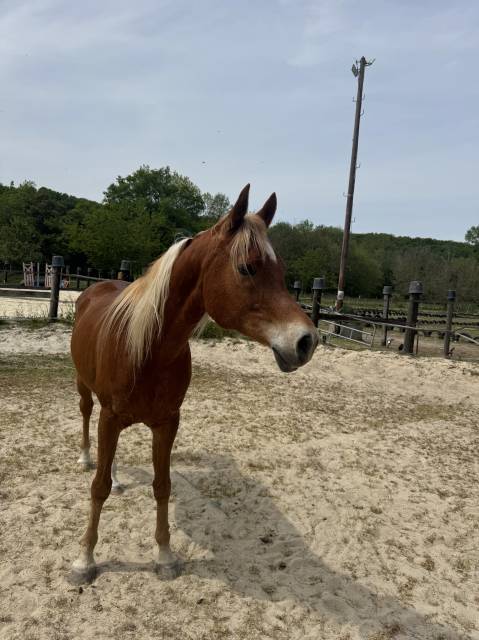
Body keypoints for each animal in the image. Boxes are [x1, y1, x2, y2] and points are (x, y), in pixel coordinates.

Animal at [69, 184, 319, 584]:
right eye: (247, 267)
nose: (306, 341)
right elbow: (98, 488)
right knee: (85, 417)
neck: (148, 349)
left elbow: (162, 486)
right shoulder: (110, 417)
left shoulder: (167, 422)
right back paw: (85, 458)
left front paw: (165, 556)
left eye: (281, 271)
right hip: (86, 392)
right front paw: (84, 560)